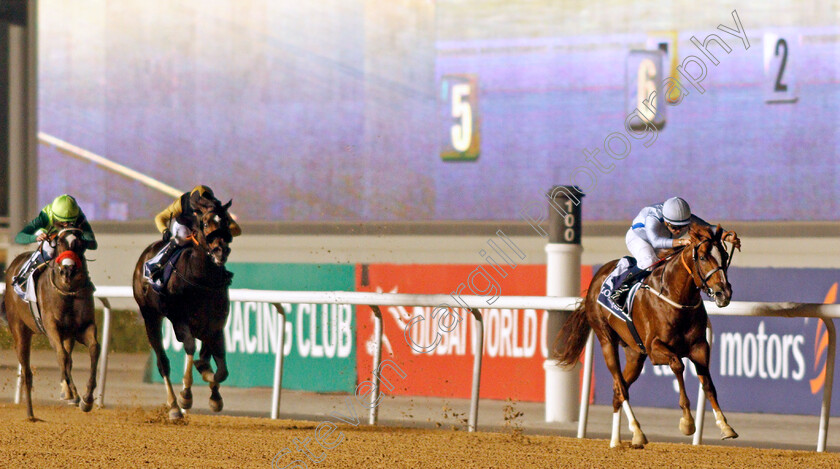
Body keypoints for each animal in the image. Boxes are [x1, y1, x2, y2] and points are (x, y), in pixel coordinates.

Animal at [1, 227, 99, 416]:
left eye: (79, 243)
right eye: (59, 242)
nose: (68, 270)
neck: (67, 292)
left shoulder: (83, 327)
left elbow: (93, 349)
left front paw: (87, 398)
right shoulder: (51, 326)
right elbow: (61, 355)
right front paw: (68, 392)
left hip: (67, 335)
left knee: (68, 359)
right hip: (19, 329)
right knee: (27, 371)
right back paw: (30, 414)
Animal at [133, 198, 235, 420]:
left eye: (225, 221)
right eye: (205, 223)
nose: (220, 251)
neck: (202, 279)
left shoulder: (215, 325)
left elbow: (221, 369)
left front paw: (214, 395)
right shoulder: (180, 321)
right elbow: (189, 348)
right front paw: (185, 396)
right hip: (150, 315)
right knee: (163, 363)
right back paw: (173, 406)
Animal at [556, 223, 740, 446]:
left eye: (724, 255)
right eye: (703, 257)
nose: (724, 293)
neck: (675, 296)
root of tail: (596, 279)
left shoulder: (699, 347)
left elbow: (708, 384)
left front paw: (725, 426)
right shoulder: (654, 349)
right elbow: (678, 365)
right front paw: (687, 422)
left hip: (635, 354)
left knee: (618, 390)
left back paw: (617, 441)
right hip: (606, 339)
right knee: (621, 387)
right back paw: (637, 431)